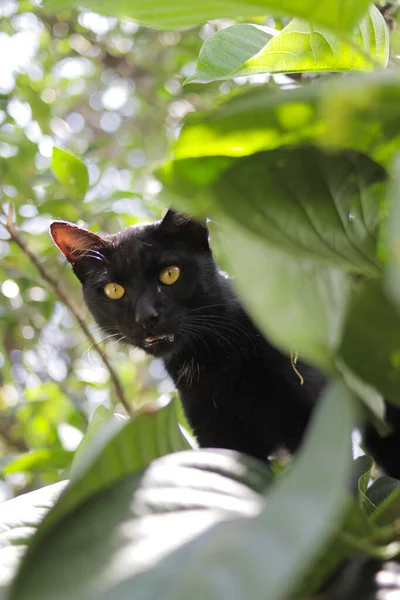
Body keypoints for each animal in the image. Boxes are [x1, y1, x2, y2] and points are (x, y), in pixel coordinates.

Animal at [50, 209, 400, 476]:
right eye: (114, 290)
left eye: (170, 274)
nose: (146, 316)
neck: (215, 362)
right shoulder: (219, 436)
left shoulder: (314, 420)